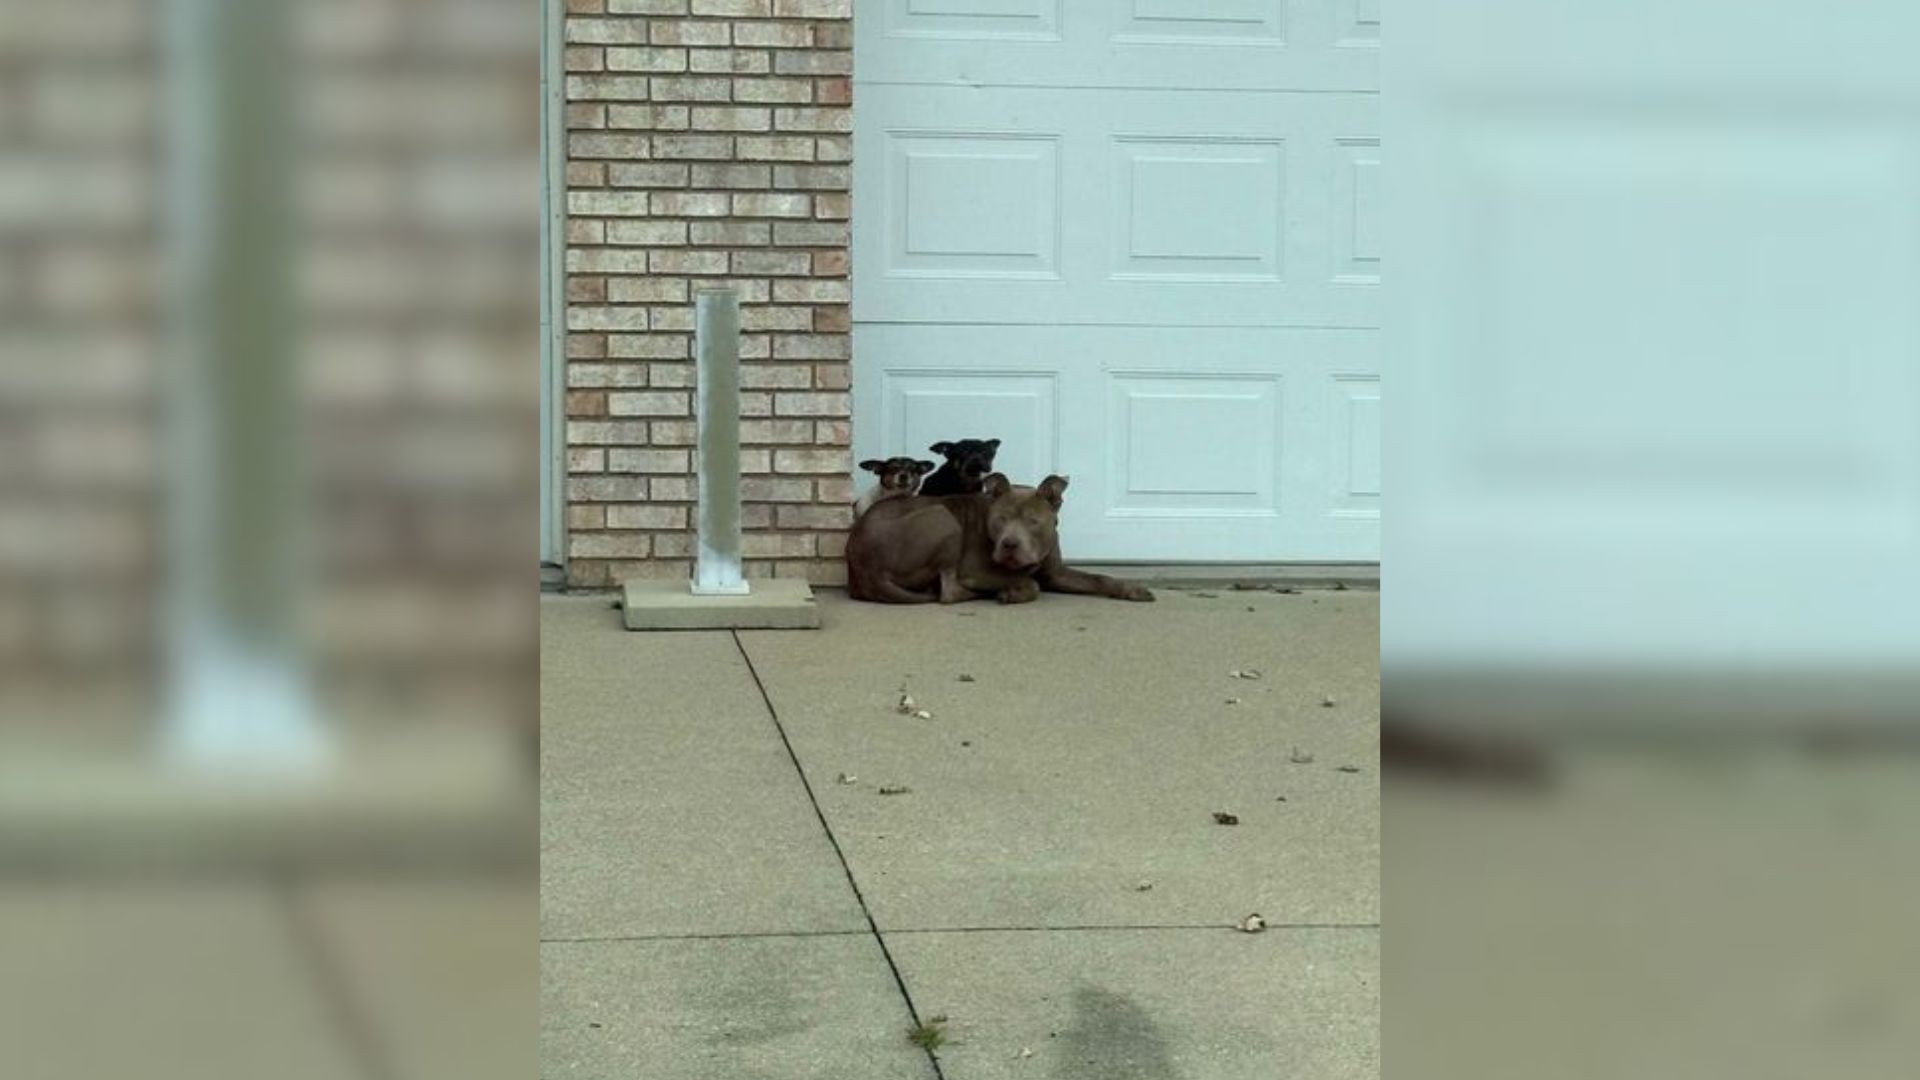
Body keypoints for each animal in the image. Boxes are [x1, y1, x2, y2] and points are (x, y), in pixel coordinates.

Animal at [844, 472, 1152, 607]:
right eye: (1000, 519)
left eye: (1033, 521)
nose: (1009, 544)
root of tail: (863, 566)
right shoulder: (974, 571)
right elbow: (1030, 583)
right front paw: (1013, 591)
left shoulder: (1057, 572)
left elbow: (1098, 578)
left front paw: (1131, 588)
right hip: (942, 517)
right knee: (949, 592)